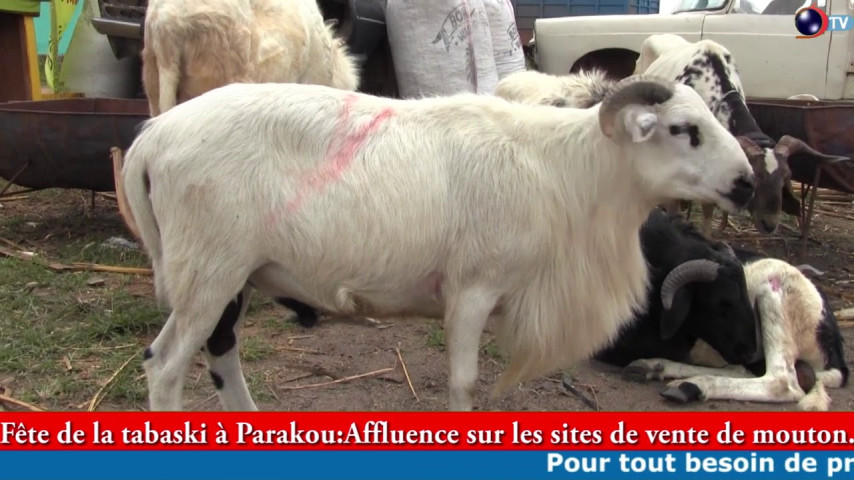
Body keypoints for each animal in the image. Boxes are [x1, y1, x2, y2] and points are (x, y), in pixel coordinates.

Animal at [121, 75, 757, 412]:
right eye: (682, 130)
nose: (747, 183)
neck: (567, 171)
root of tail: (150, 138)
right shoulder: (472, 288)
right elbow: (463, 381)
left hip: (234, 275)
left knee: (219, 351)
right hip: (208, 269)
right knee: (167, 364)